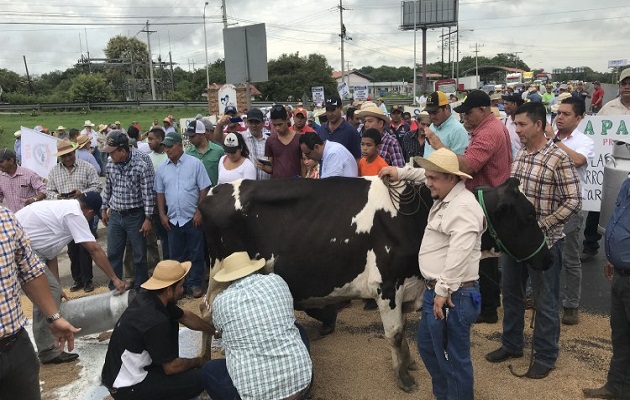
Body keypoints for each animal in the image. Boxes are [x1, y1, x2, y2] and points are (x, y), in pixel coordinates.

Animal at [201, 177, 552, 392]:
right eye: (529, 215)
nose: (547, 259)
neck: (416, 217)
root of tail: (214, 190)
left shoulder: (407, 286)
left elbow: (405, 330)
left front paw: (409, 363)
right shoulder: (387, 286)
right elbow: (394, 333)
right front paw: (403, 378)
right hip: (218, 278)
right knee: (206, 315)